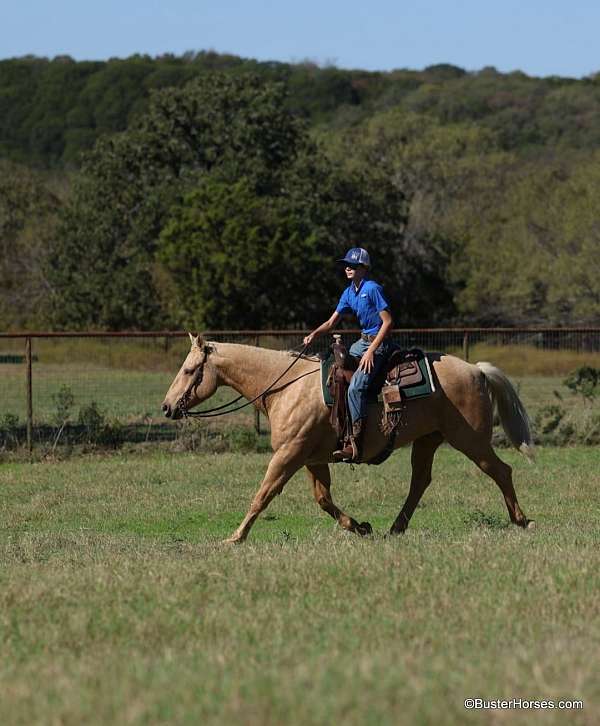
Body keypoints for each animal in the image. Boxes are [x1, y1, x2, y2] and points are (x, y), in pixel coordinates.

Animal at [163, 334, 536, 540]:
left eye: (189, 370)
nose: (167, 407)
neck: (287, 387)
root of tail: (476, 370)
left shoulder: (288, 454)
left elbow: (263, 495)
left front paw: (235, 537)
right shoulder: (311, 459)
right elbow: (323, 499)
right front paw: (360, 527)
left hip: (470, 439)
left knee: (500, 471)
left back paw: (522, 520)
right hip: (428, 439)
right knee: (420, 482)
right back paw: (395, 528)